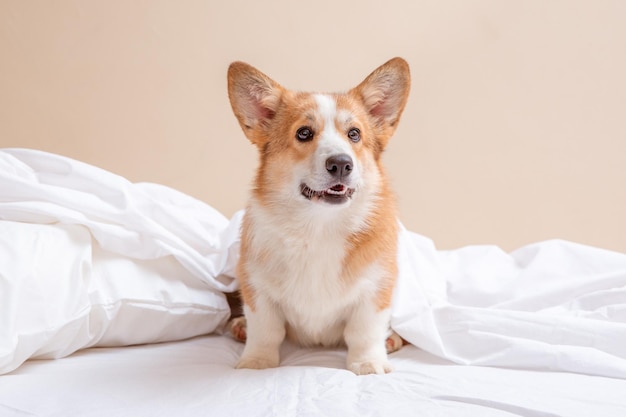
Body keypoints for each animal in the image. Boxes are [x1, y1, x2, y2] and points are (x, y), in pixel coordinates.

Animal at [227, 56, 408, 374]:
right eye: (304, 133)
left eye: (354, 134)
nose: (341, 164)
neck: (319, 226)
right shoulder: (256, 287)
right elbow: (265, 330)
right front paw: (256, 362)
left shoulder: (376, 288)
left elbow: (364, 331)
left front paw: (368, 363)